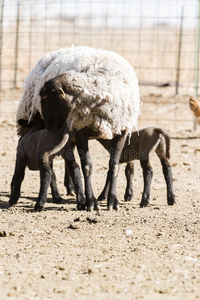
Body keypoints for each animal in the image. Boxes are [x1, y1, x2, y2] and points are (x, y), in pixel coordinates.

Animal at [16, 46, 141, 211]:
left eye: (45, 97)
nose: (48, 127)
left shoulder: (121, 130)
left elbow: (114, 165)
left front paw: (113, 201)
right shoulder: (81, 129)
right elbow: (86, 166)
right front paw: (91, 202)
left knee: (66, 163)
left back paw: (71, 191)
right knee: (58, 163)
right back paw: (65, 196)